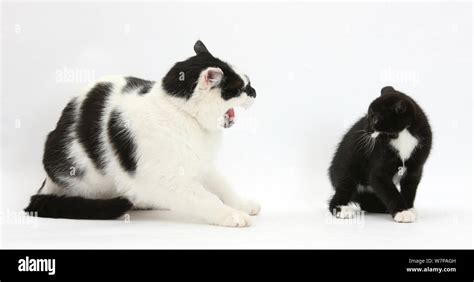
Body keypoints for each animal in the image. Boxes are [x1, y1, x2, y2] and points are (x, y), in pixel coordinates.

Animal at [24, 40, 262, 227]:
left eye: (248, 82)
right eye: (239, 89)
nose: (254, 92)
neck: (180, 113)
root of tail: (46, 182)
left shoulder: (204, 165)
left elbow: (224, 187)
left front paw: (242, 205)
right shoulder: (168, 179)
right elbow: (207, 199)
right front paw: (231, 215)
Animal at [328, 86, 432, 223]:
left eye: (375, 119)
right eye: (368, 116)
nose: (366, 129)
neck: (402, 135)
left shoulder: (415, 168)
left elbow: (410, 189)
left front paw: (408, 208)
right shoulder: (378, 171)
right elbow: (390, 191)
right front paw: (402, 212)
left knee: (368, 203)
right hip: (347, 170)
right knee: (340, 194)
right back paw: (342, 209)